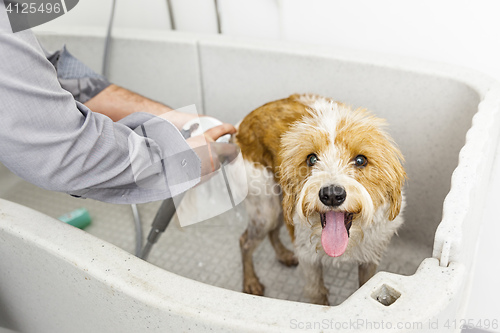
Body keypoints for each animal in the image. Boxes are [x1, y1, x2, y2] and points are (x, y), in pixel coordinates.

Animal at [235, 92, 406, 304]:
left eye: (360, 160)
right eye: (311, 159)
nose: (332, 195)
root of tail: (242, 124)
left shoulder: (370, 256)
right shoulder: (309, 260)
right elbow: (318, 294)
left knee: (272, 232)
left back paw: (283, 255)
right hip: (266, 210)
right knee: (245, 241)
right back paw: (250, 281)